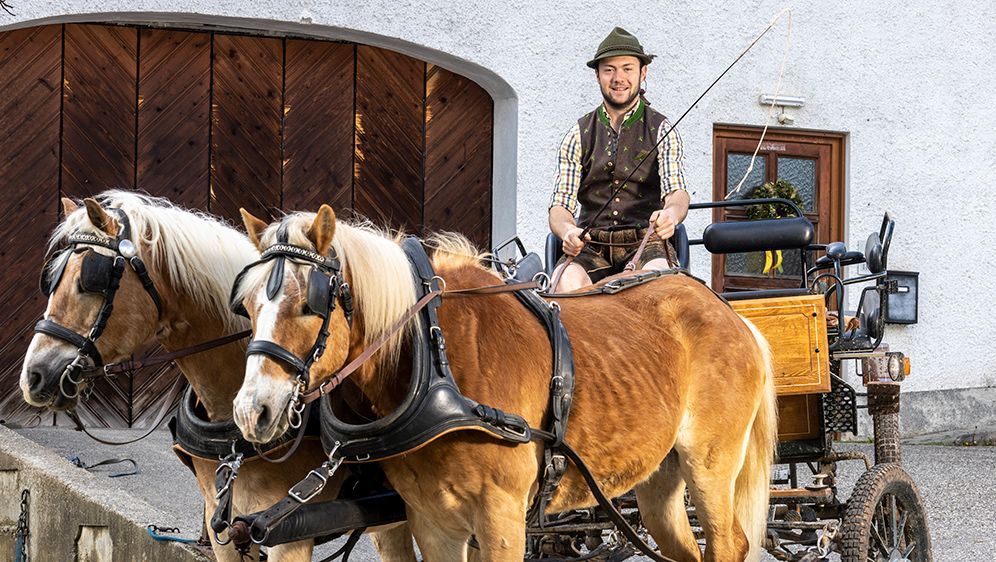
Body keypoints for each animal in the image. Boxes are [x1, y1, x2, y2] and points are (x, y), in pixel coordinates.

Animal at [231, 206, 780, 560]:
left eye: (310, 304)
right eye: (248, 304)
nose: (251, 411)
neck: (437, 361)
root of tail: (727, 312)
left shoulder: (502, 517)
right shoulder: (432, 521)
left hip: (709, 466)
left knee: (728, 543)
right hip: (660, 480)